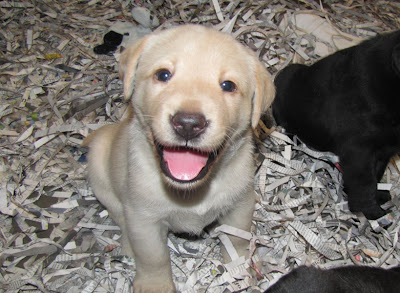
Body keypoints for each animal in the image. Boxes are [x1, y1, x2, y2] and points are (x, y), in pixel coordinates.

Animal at [84, 25, 276, 292]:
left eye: (228, 85)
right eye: (163, 74)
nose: (188, 124)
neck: (192, 192)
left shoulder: (240, 205)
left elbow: (237, 238)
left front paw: (241, 266)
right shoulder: (143, 219)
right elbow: (153, 257)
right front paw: (154, 285)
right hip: (101, 169)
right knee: (119, 215)